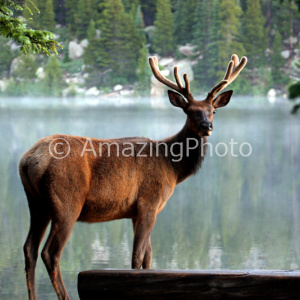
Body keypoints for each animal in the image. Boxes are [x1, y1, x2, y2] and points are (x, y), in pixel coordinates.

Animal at [19, 54, 247, 300]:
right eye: (189, 110)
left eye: (213, 110)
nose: (207, 126)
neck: (172, 165)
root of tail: (28, 159)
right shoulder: (149, 202)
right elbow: (137, 255)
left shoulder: (135, 212)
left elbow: (148, 256)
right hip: (66, 201)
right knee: (50, 253)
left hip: (37, 203)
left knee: (29, 249)